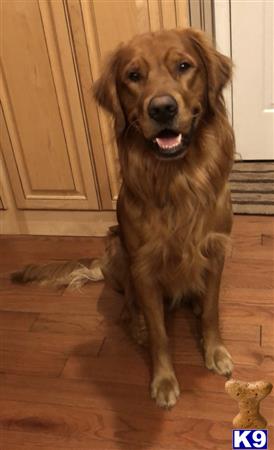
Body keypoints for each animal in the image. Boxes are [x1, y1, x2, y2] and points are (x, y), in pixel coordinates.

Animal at [13, 28, 234, 408]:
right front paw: (163, 380)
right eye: (133, 76)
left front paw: (214, 351)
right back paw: (139, 324)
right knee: (128, 308)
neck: (178, 178)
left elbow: (211, 310)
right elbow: (160, 333)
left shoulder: (215, 251)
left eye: (183, 66)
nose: (162, 108)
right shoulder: (143, 266)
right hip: (117, 249)